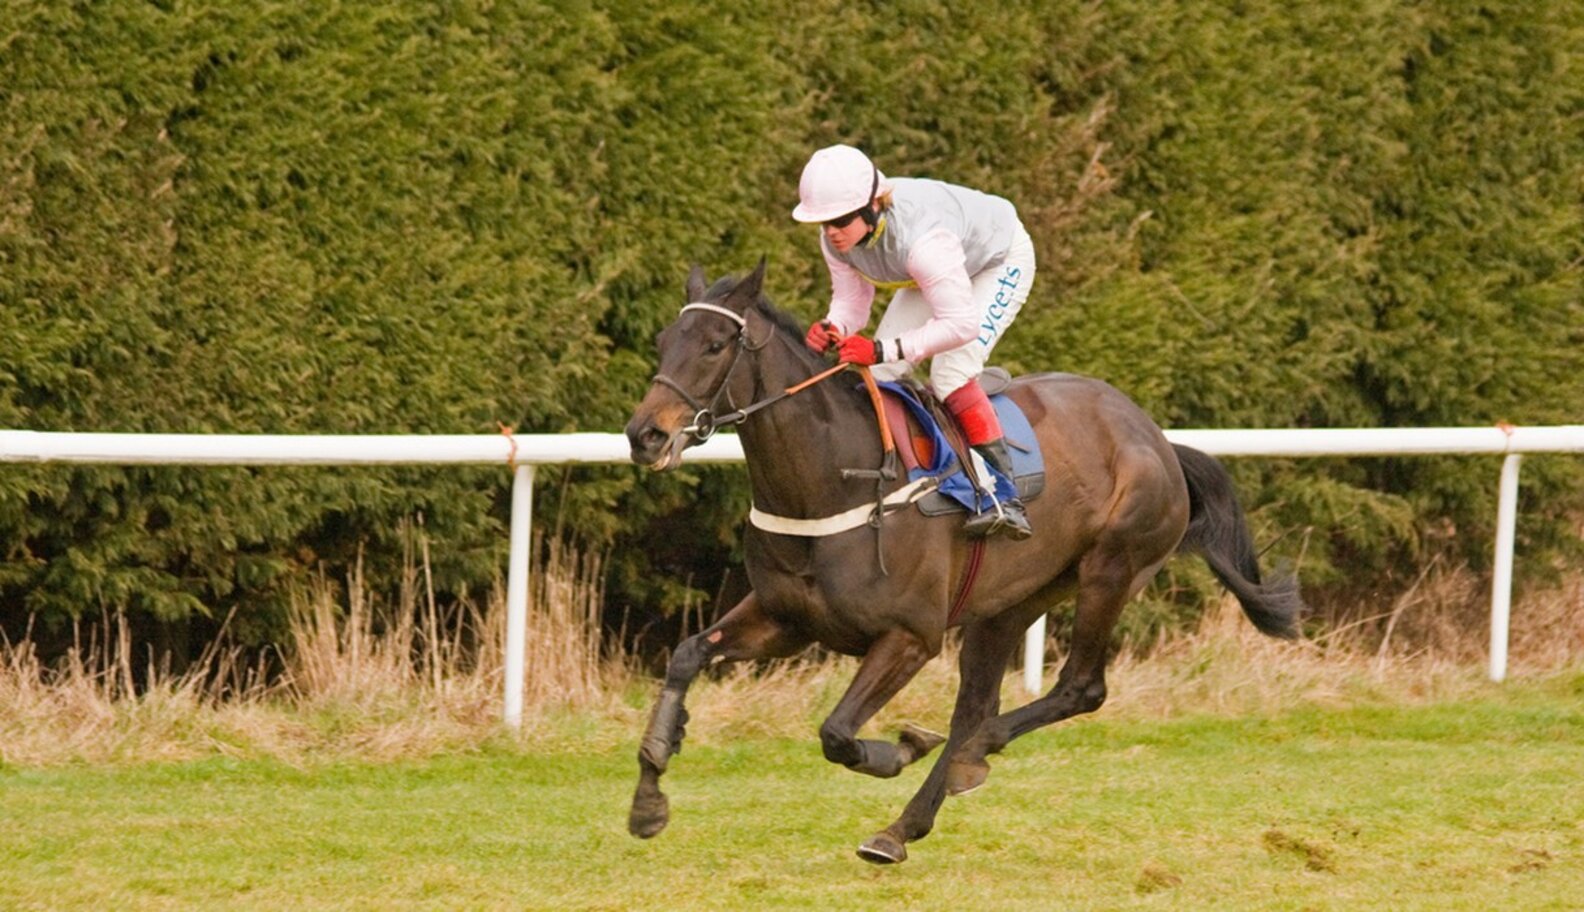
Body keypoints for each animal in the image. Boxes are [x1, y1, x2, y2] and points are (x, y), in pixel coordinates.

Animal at [623, 260, 1303, 864]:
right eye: (663, 342)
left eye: (714, 345)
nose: (644, 435)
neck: (831, 480)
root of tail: (1156, 437)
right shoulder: (786, 618)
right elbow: (687, 654)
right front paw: (650, 792)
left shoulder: (911, 636)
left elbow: (837, 733)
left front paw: (900, 748)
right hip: (1006, 606)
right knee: (977, 705)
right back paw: (902, 827)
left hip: (1111, 569)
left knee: (1073, 690)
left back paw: (972, 756)